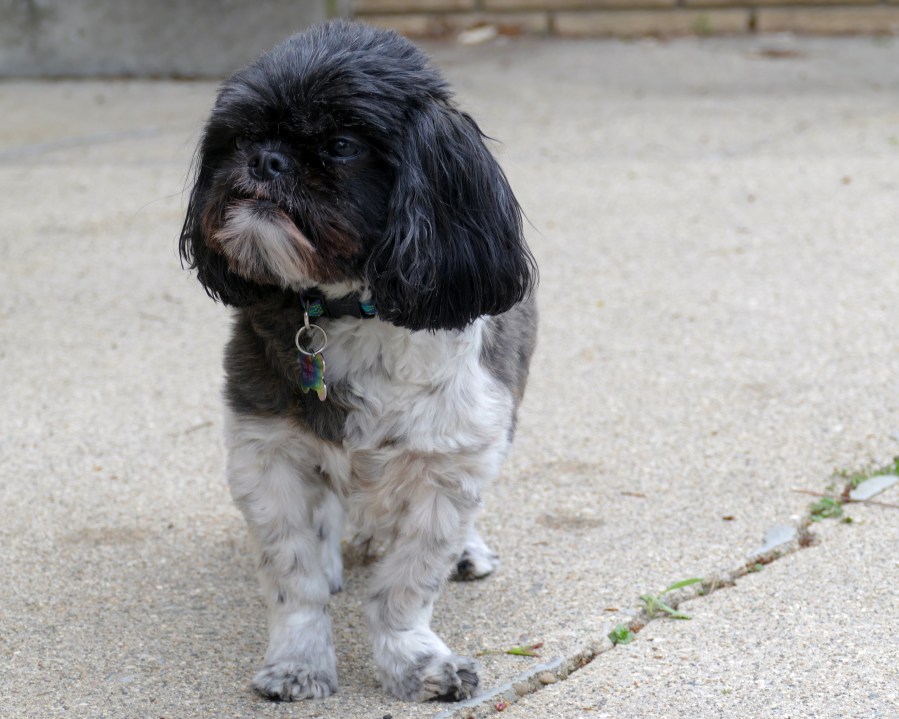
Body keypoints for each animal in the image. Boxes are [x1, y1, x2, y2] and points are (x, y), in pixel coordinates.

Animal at [179, 20, 537, 702]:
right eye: (241, 136)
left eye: (341, 145)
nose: (264, 160)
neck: (349, 309)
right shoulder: (267, 453)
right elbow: (292, 575)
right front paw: (298, 661)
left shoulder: (450, 460)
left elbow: (408, 582)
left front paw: (413, 660)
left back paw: (466, 550)